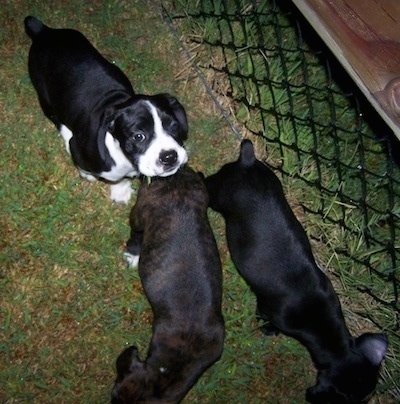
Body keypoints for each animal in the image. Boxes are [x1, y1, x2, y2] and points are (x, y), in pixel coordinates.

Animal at [24, 17, 188, 204]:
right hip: (45, 96)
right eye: (138, 136)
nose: (169, 156)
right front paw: (114, 188)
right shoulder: (79, 150)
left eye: (174, 126)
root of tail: (44, 31)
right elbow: (111, 177)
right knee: (57, 119)